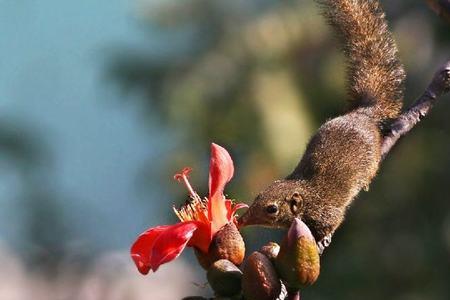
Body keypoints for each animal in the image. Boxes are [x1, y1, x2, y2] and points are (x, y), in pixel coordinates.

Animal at [239, 0, 408, 252]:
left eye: (272, 209)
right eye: (256, 196)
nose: (241, 220)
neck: (308, 196)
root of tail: (363, 113)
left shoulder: (328, 212)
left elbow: (332, 223)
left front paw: (323, 239)